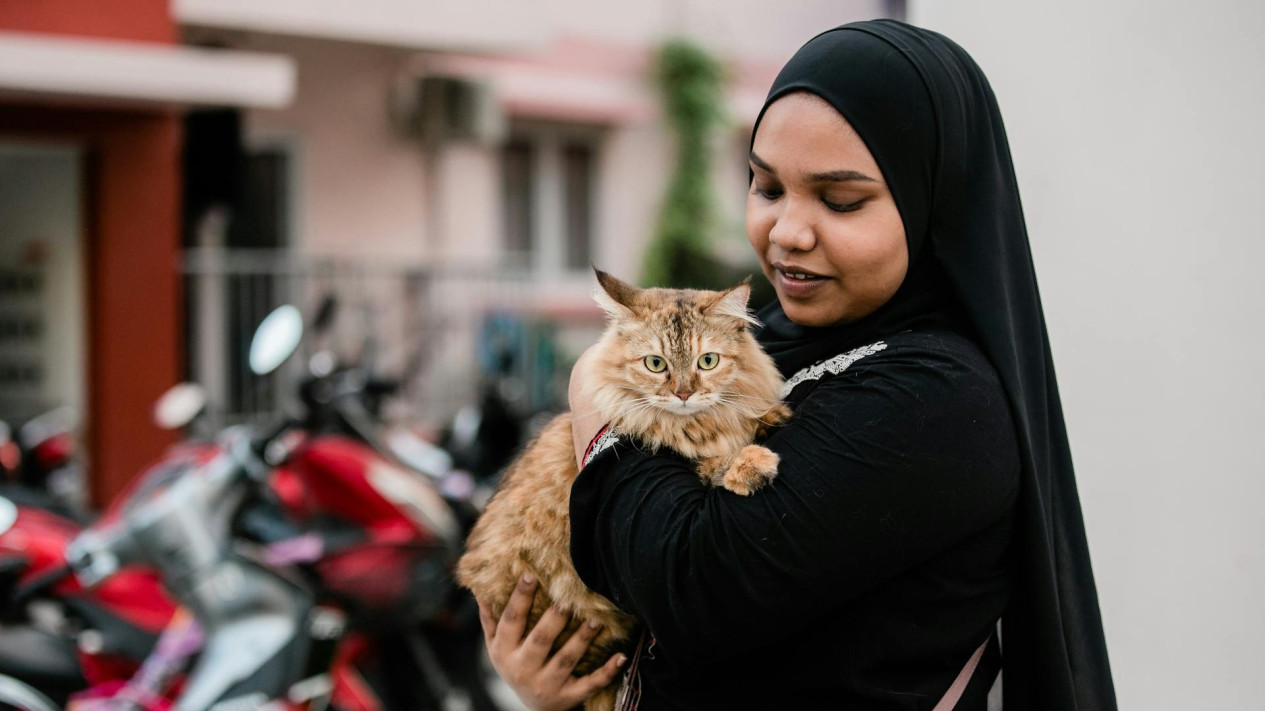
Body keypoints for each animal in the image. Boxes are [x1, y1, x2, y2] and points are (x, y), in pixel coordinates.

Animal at [455, 270, 789, 708]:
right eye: (655, 364)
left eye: (708, 361)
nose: (684, 394)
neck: (694, 424)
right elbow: (712, 461)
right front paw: (751, 463)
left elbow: (744, 415)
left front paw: (770, 415)